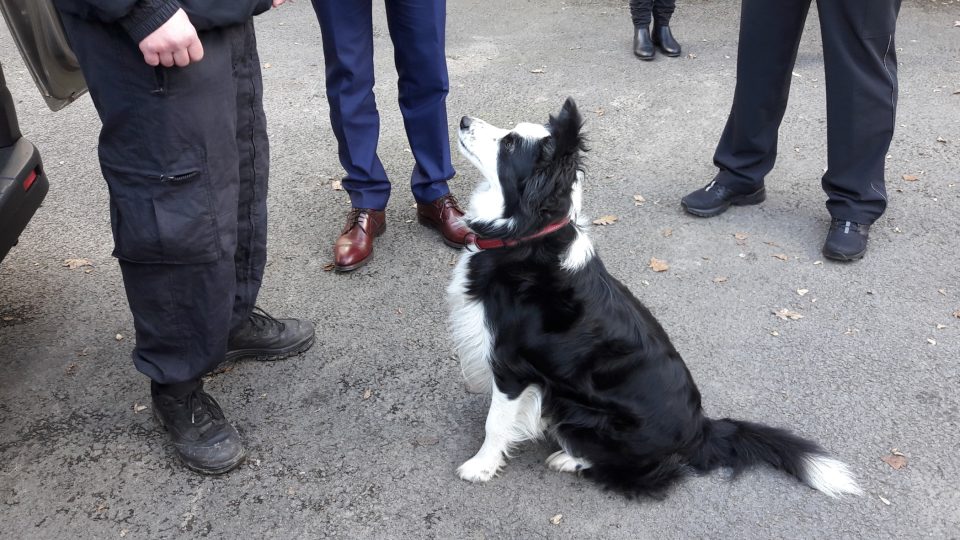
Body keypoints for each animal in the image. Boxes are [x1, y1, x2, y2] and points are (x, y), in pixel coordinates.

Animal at [450, 97, 864, 498]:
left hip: (580, 410)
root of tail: (701, 429)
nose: (464, 119)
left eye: (510, 143)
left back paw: (569, 459)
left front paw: (481, 466)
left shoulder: (512, 363)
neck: (526, 235)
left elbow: (496, 422)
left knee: (645, 473)